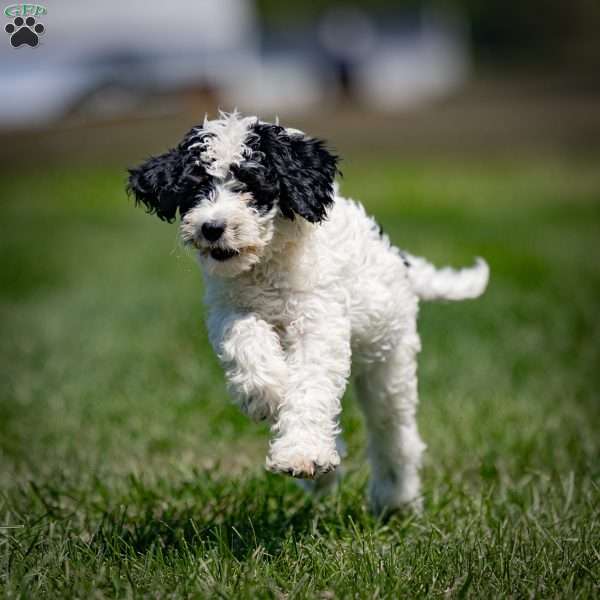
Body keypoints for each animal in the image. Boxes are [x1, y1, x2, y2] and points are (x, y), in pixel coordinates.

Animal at [127, 113, 488, 516]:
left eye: (250, 184)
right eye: (195, 187)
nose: (212, 228)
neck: (267, 266)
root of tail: (400, 261)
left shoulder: (319, 323)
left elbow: (309, 387)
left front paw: (302, 453)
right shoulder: (230, 309)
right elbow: (249, 345)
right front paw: (267, 394)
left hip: (389, 362)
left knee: (394, 434)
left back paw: (396, 500)